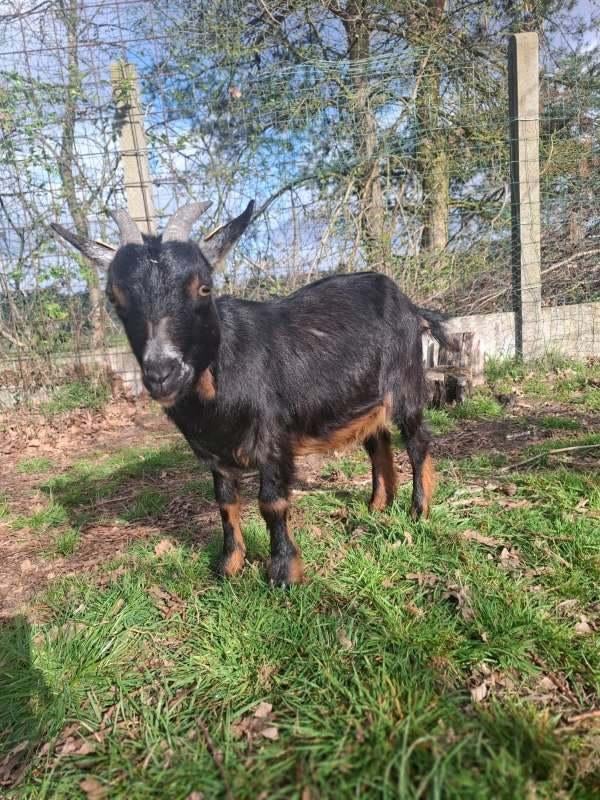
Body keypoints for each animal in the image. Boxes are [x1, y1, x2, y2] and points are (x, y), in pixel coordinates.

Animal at [51, 202, 453, 587]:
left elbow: (271, 503)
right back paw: (377, 506)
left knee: (417, 441)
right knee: (377, 440)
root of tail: (410, 305)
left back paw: (418, 510)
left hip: (405, 385)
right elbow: (225, 504)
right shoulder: (215, 452)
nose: (162, 373)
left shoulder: (272, 439)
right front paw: (228, 566)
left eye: (204, 288)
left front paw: (284, 573)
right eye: (114, 297)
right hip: (363, 399)